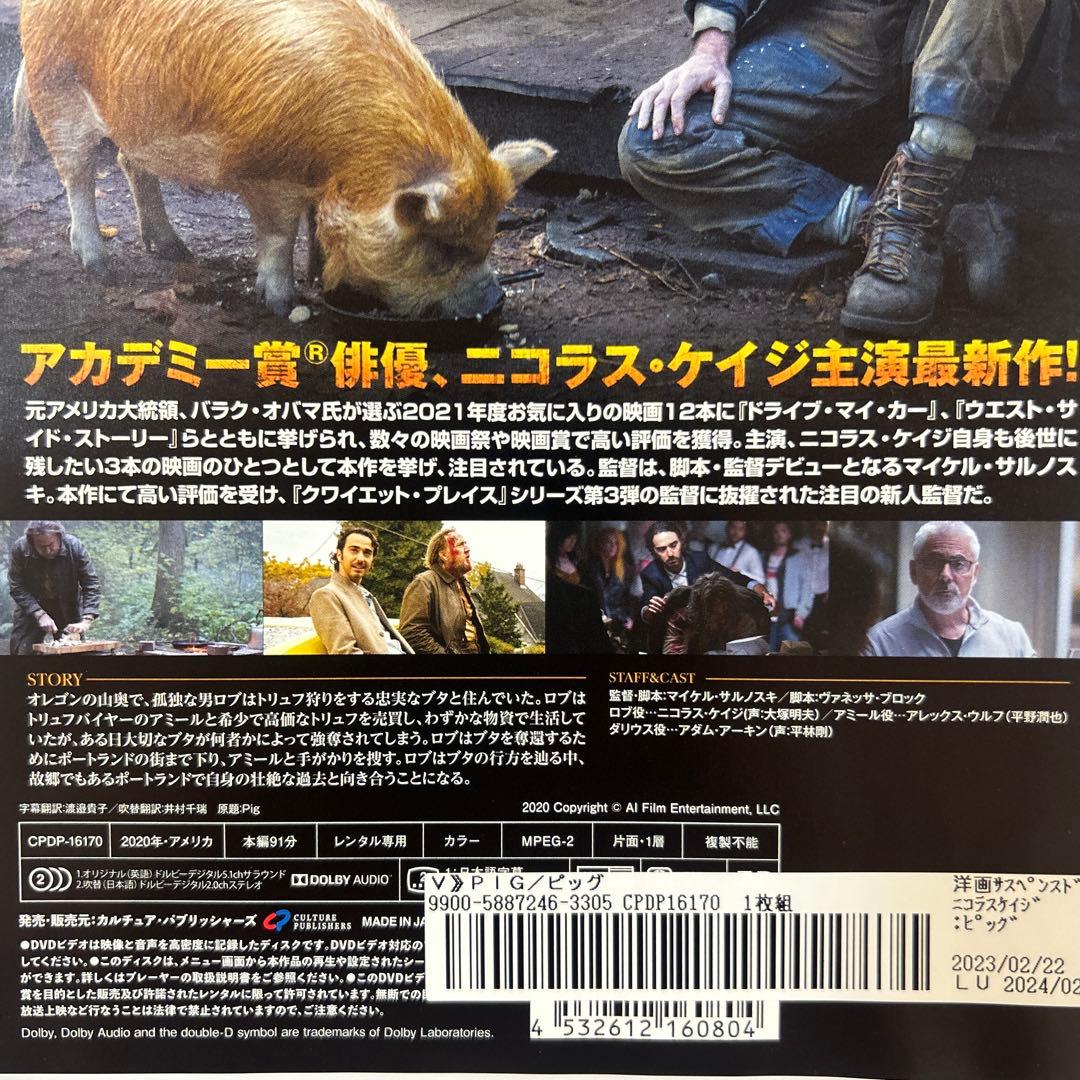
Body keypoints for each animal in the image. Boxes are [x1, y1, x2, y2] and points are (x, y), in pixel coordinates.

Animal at [15, 0, 556, 316]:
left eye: (489, 241)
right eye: (441, 250)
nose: (493, 298)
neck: (345, 156)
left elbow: (315, 226)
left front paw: (316, 279)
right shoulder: (267, 174)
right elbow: (279, 234)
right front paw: (282, 304)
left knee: (131, 164)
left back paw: (176, 253)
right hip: (54, 87)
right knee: (77, 176)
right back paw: (98, 266)